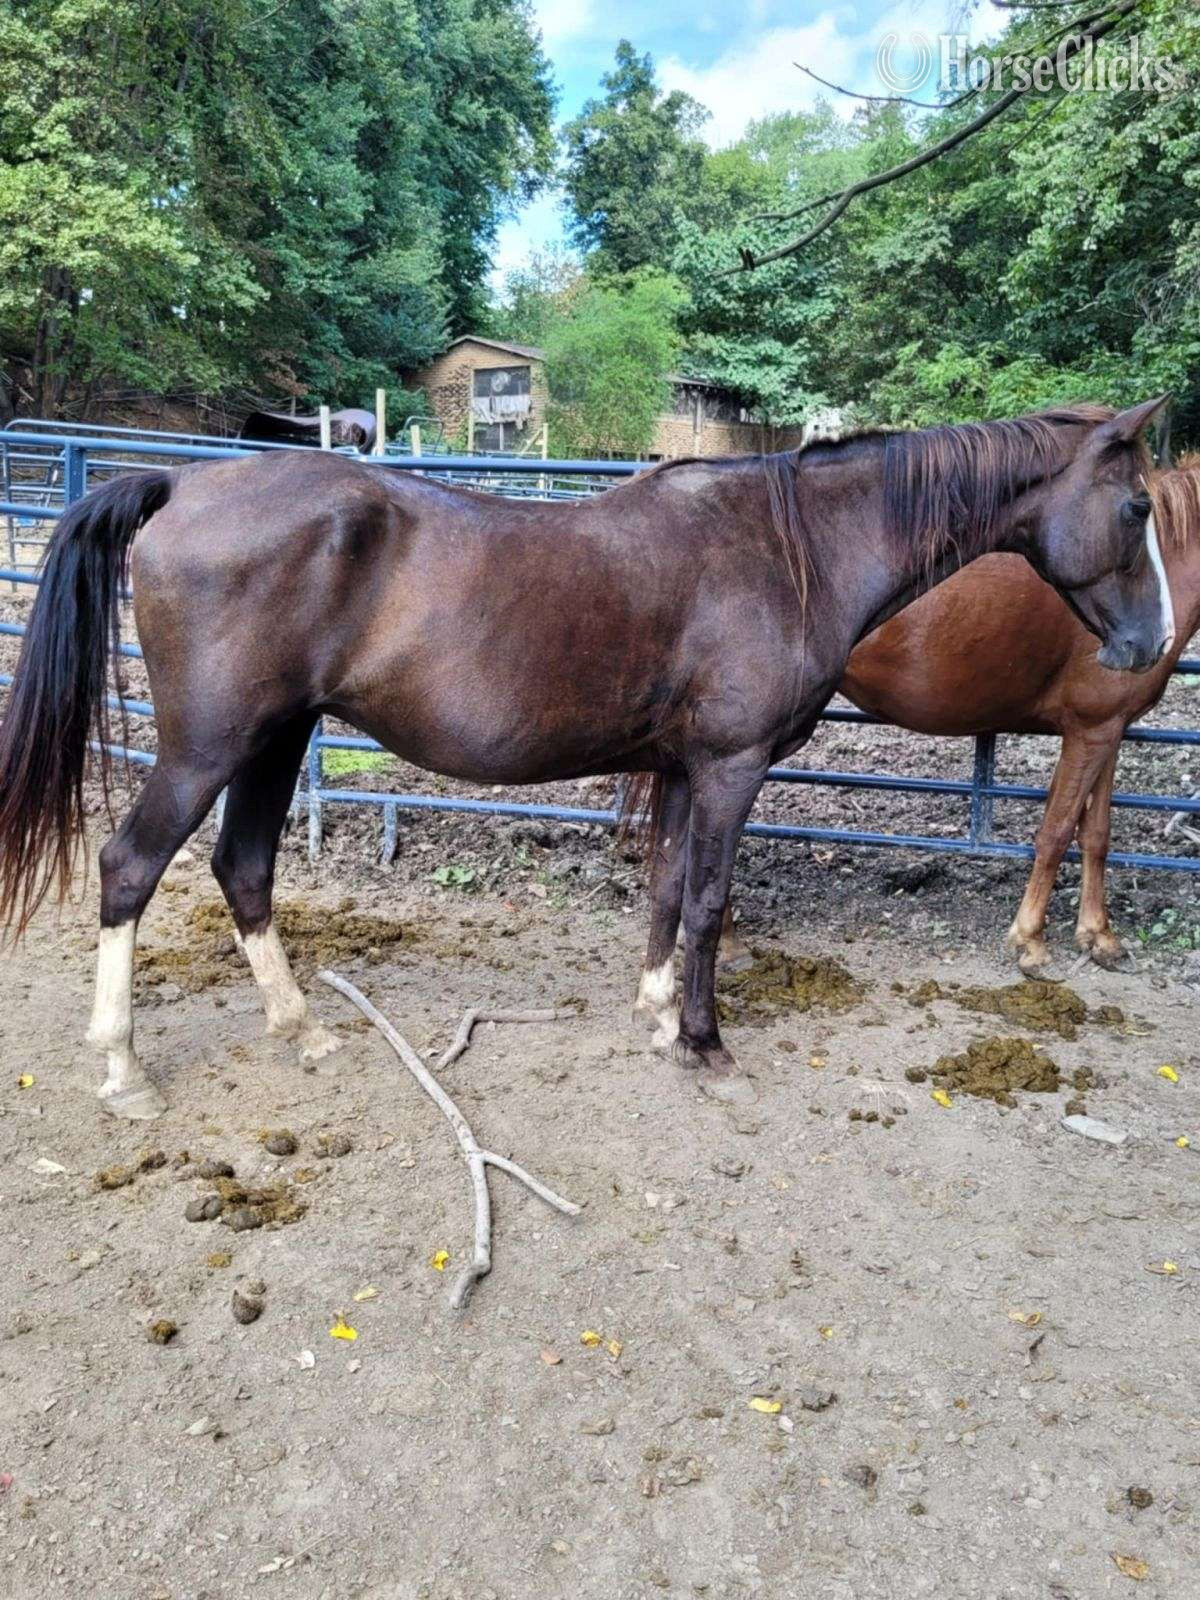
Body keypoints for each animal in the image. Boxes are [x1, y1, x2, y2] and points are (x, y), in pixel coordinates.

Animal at [833, 451, 1200, 977]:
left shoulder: (1107, 730)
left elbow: (1096, 834)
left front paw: (1098, 936)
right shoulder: (1090, 730)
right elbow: (1056, 830)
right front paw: (1029, 941)